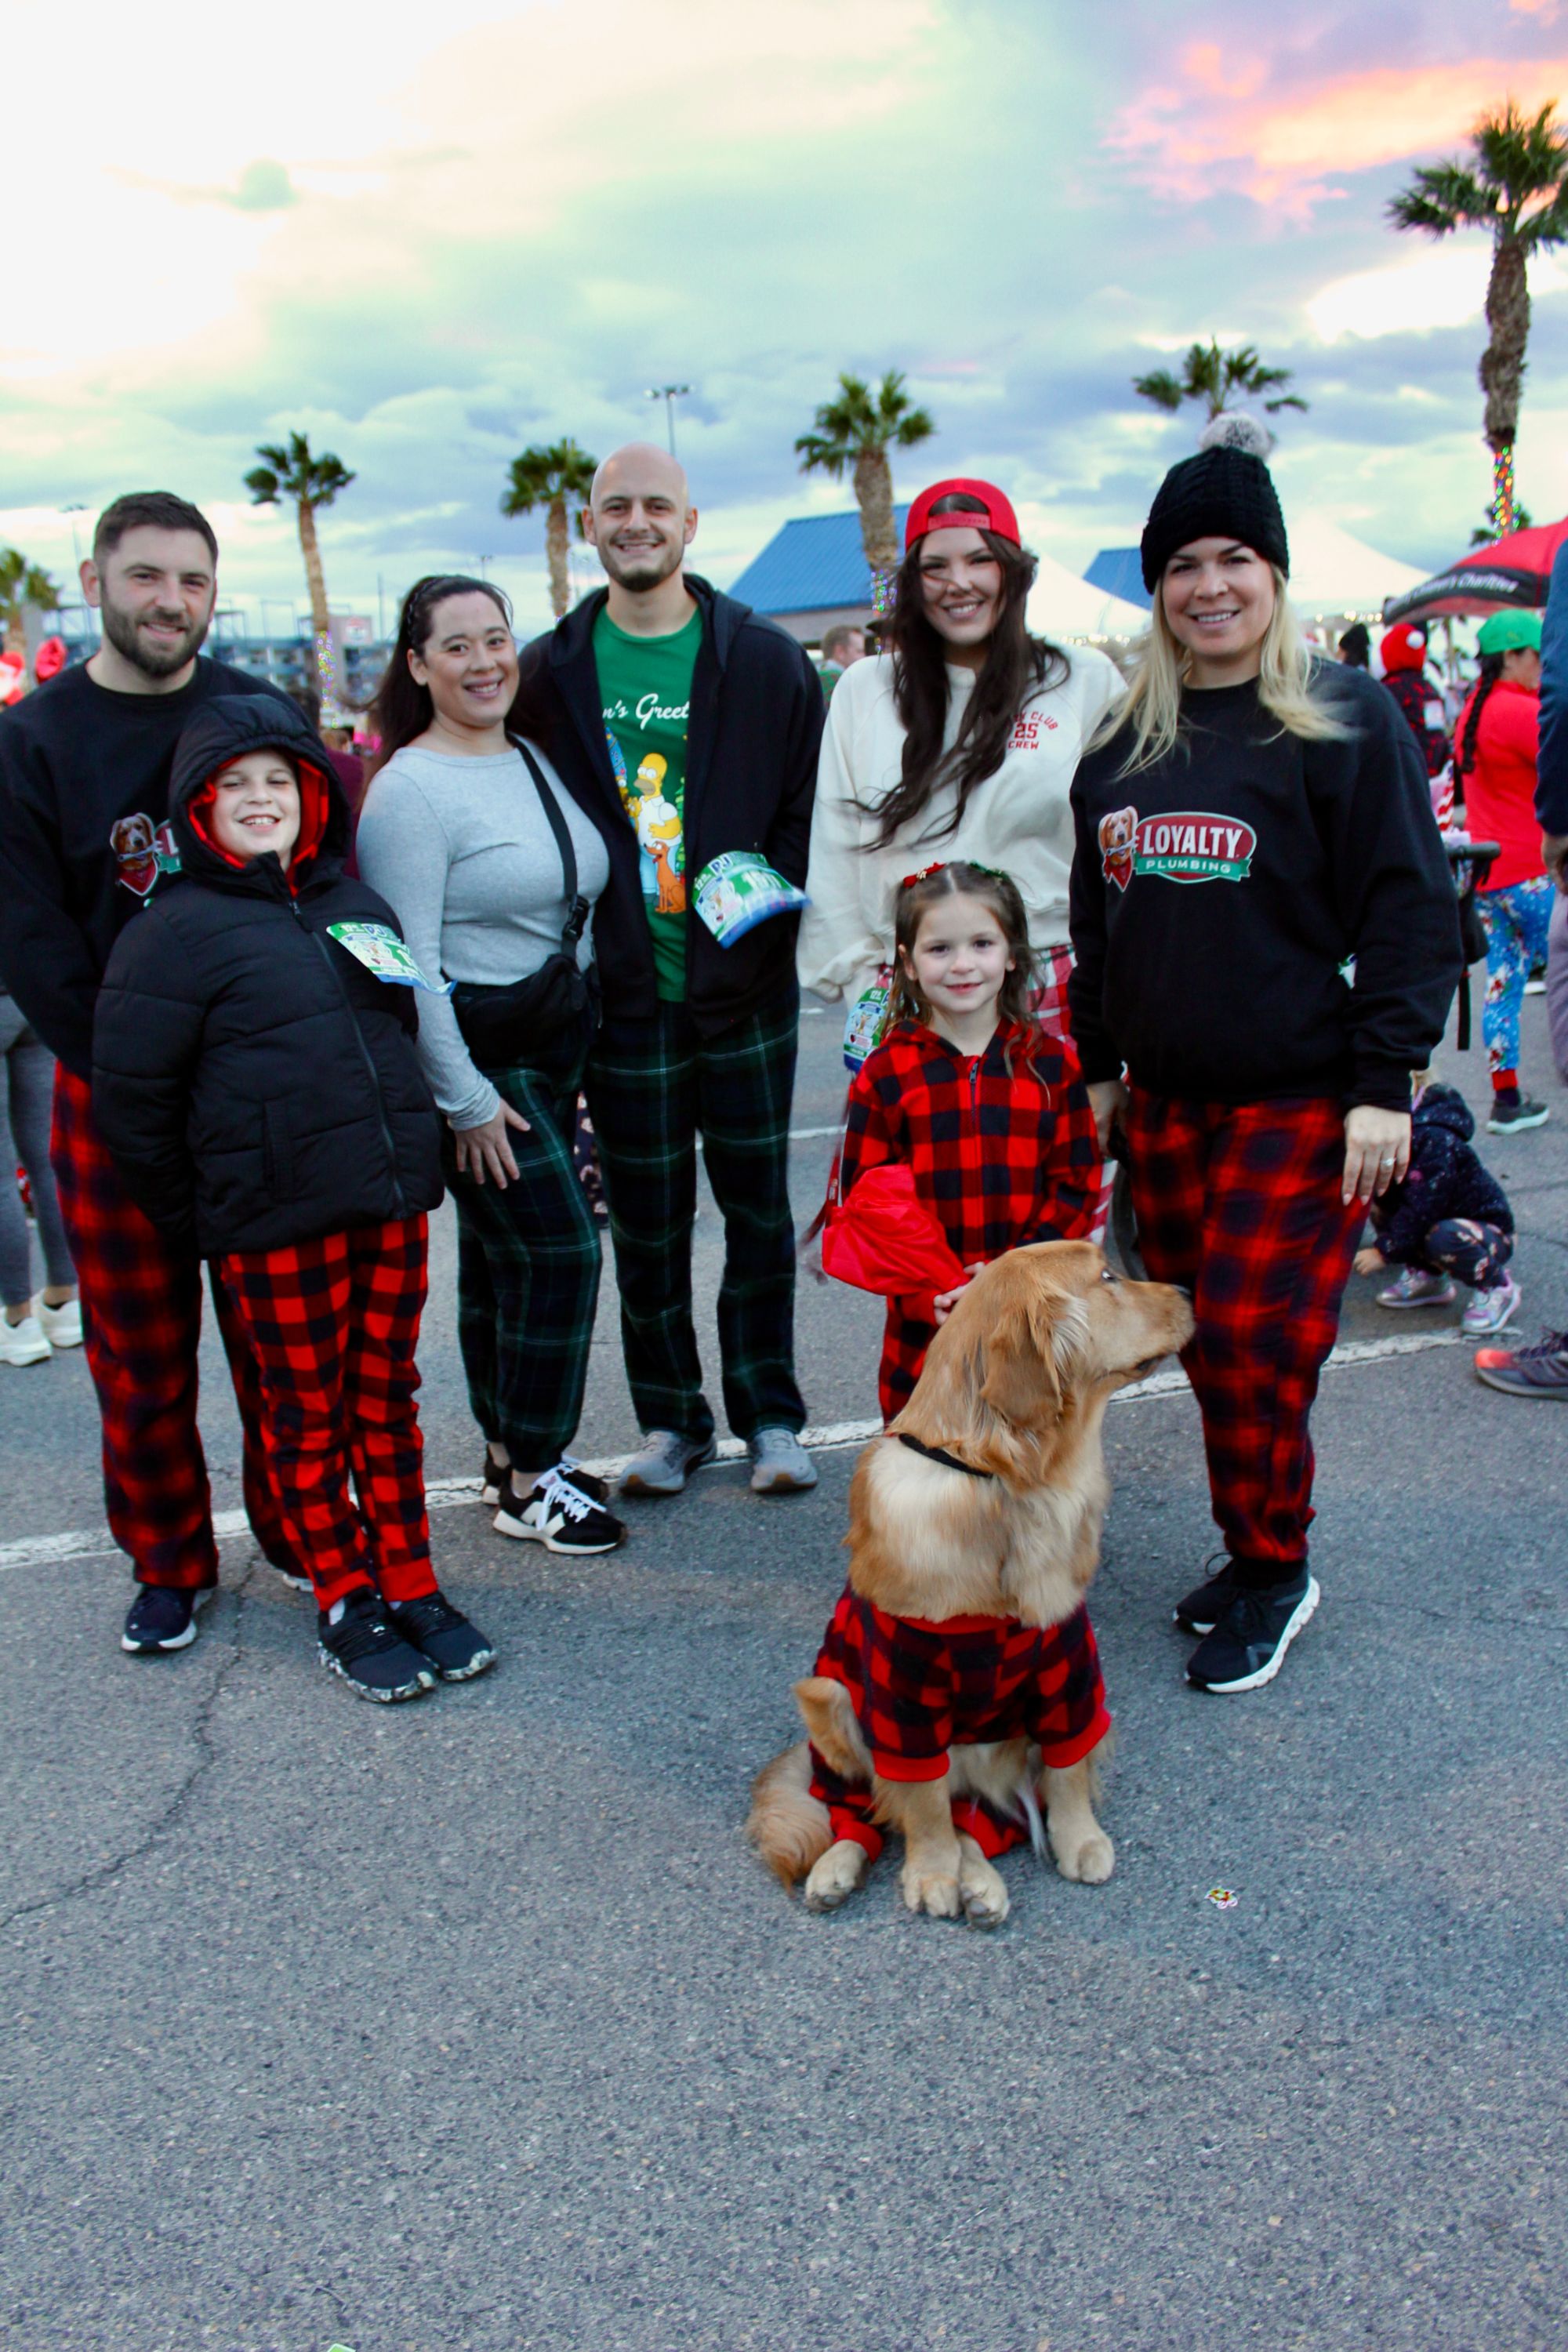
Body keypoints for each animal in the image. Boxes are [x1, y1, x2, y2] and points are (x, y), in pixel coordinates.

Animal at [747, 1240, 1194, 1927]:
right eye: (1108, 1277)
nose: (1191, 1293)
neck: (1008, 1480)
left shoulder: (1067, 1668)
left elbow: (1067, 1767)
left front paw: (1079, 1838)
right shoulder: (905, 1694)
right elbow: (925, 1803)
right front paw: (933, 1874)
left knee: (974, 1818)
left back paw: (980, 1882)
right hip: (831, 1698)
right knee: (874, 1811)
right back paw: (844, 1868)